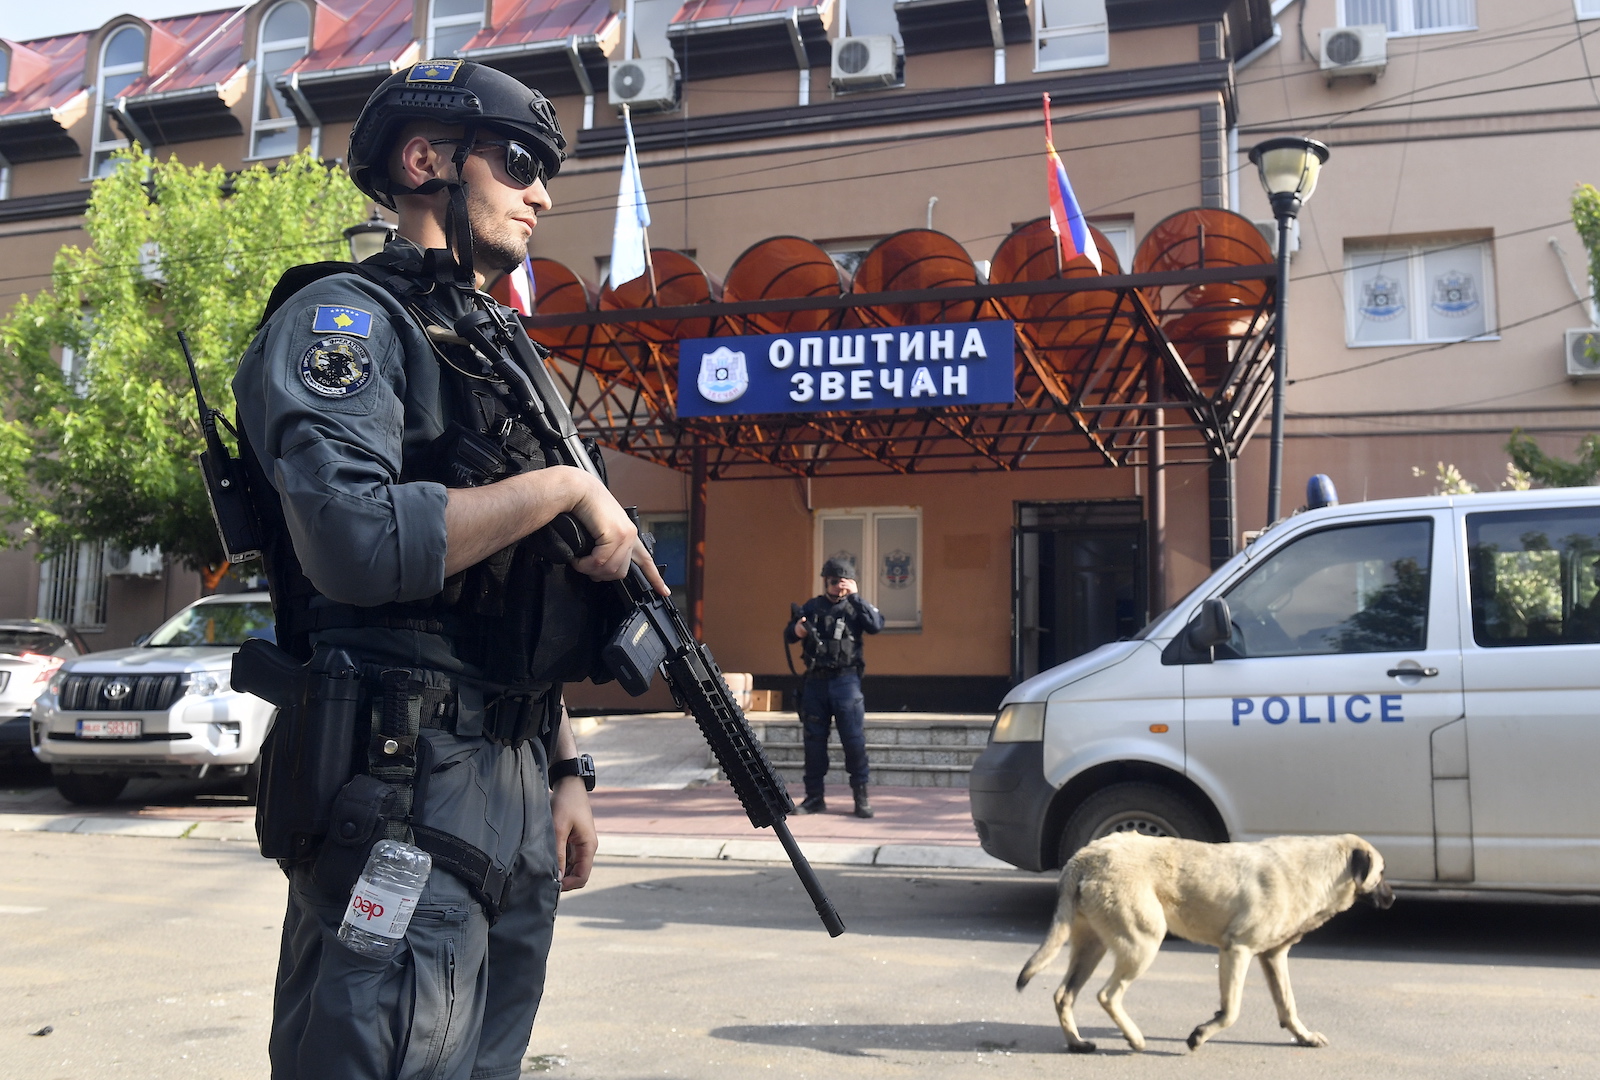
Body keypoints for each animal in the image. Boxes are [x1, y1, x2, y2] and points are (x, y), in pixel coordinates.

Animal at [1017, 832, 1395, 1049]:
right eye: (1382, 873)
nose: (1393, 899)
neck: (1321, 868)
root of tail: (1083, 857)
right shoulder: (1237, 950)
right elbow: (1231, 1011)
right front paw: (1200, 1034)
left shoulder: (1272, 957)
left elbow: (1287, 1005)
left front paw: (1303, 1036)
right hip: (1143, 943)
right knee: (1107, 995)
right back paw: (1135, 1039)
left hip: (1092, 946)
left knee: (1064, 995)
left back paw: (1077, 1042)